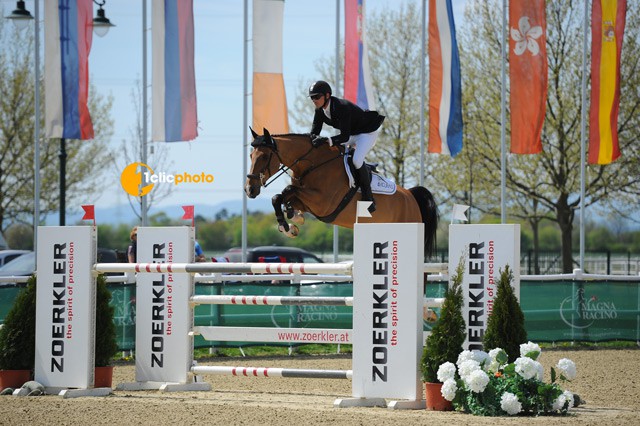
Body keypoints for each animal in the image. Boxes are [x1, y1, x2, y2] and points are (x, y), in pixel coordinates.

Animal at [245, 129, 440, 256]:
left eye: (264, 156)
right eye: (250, 156)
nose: (249, 189)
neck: (313, 163)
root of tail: (411, 196)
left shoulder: (322, 202)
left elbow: (287, 191)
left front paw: (287, 225)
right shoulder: (308, 200)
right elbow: (280, 197)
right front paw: (291, 220)